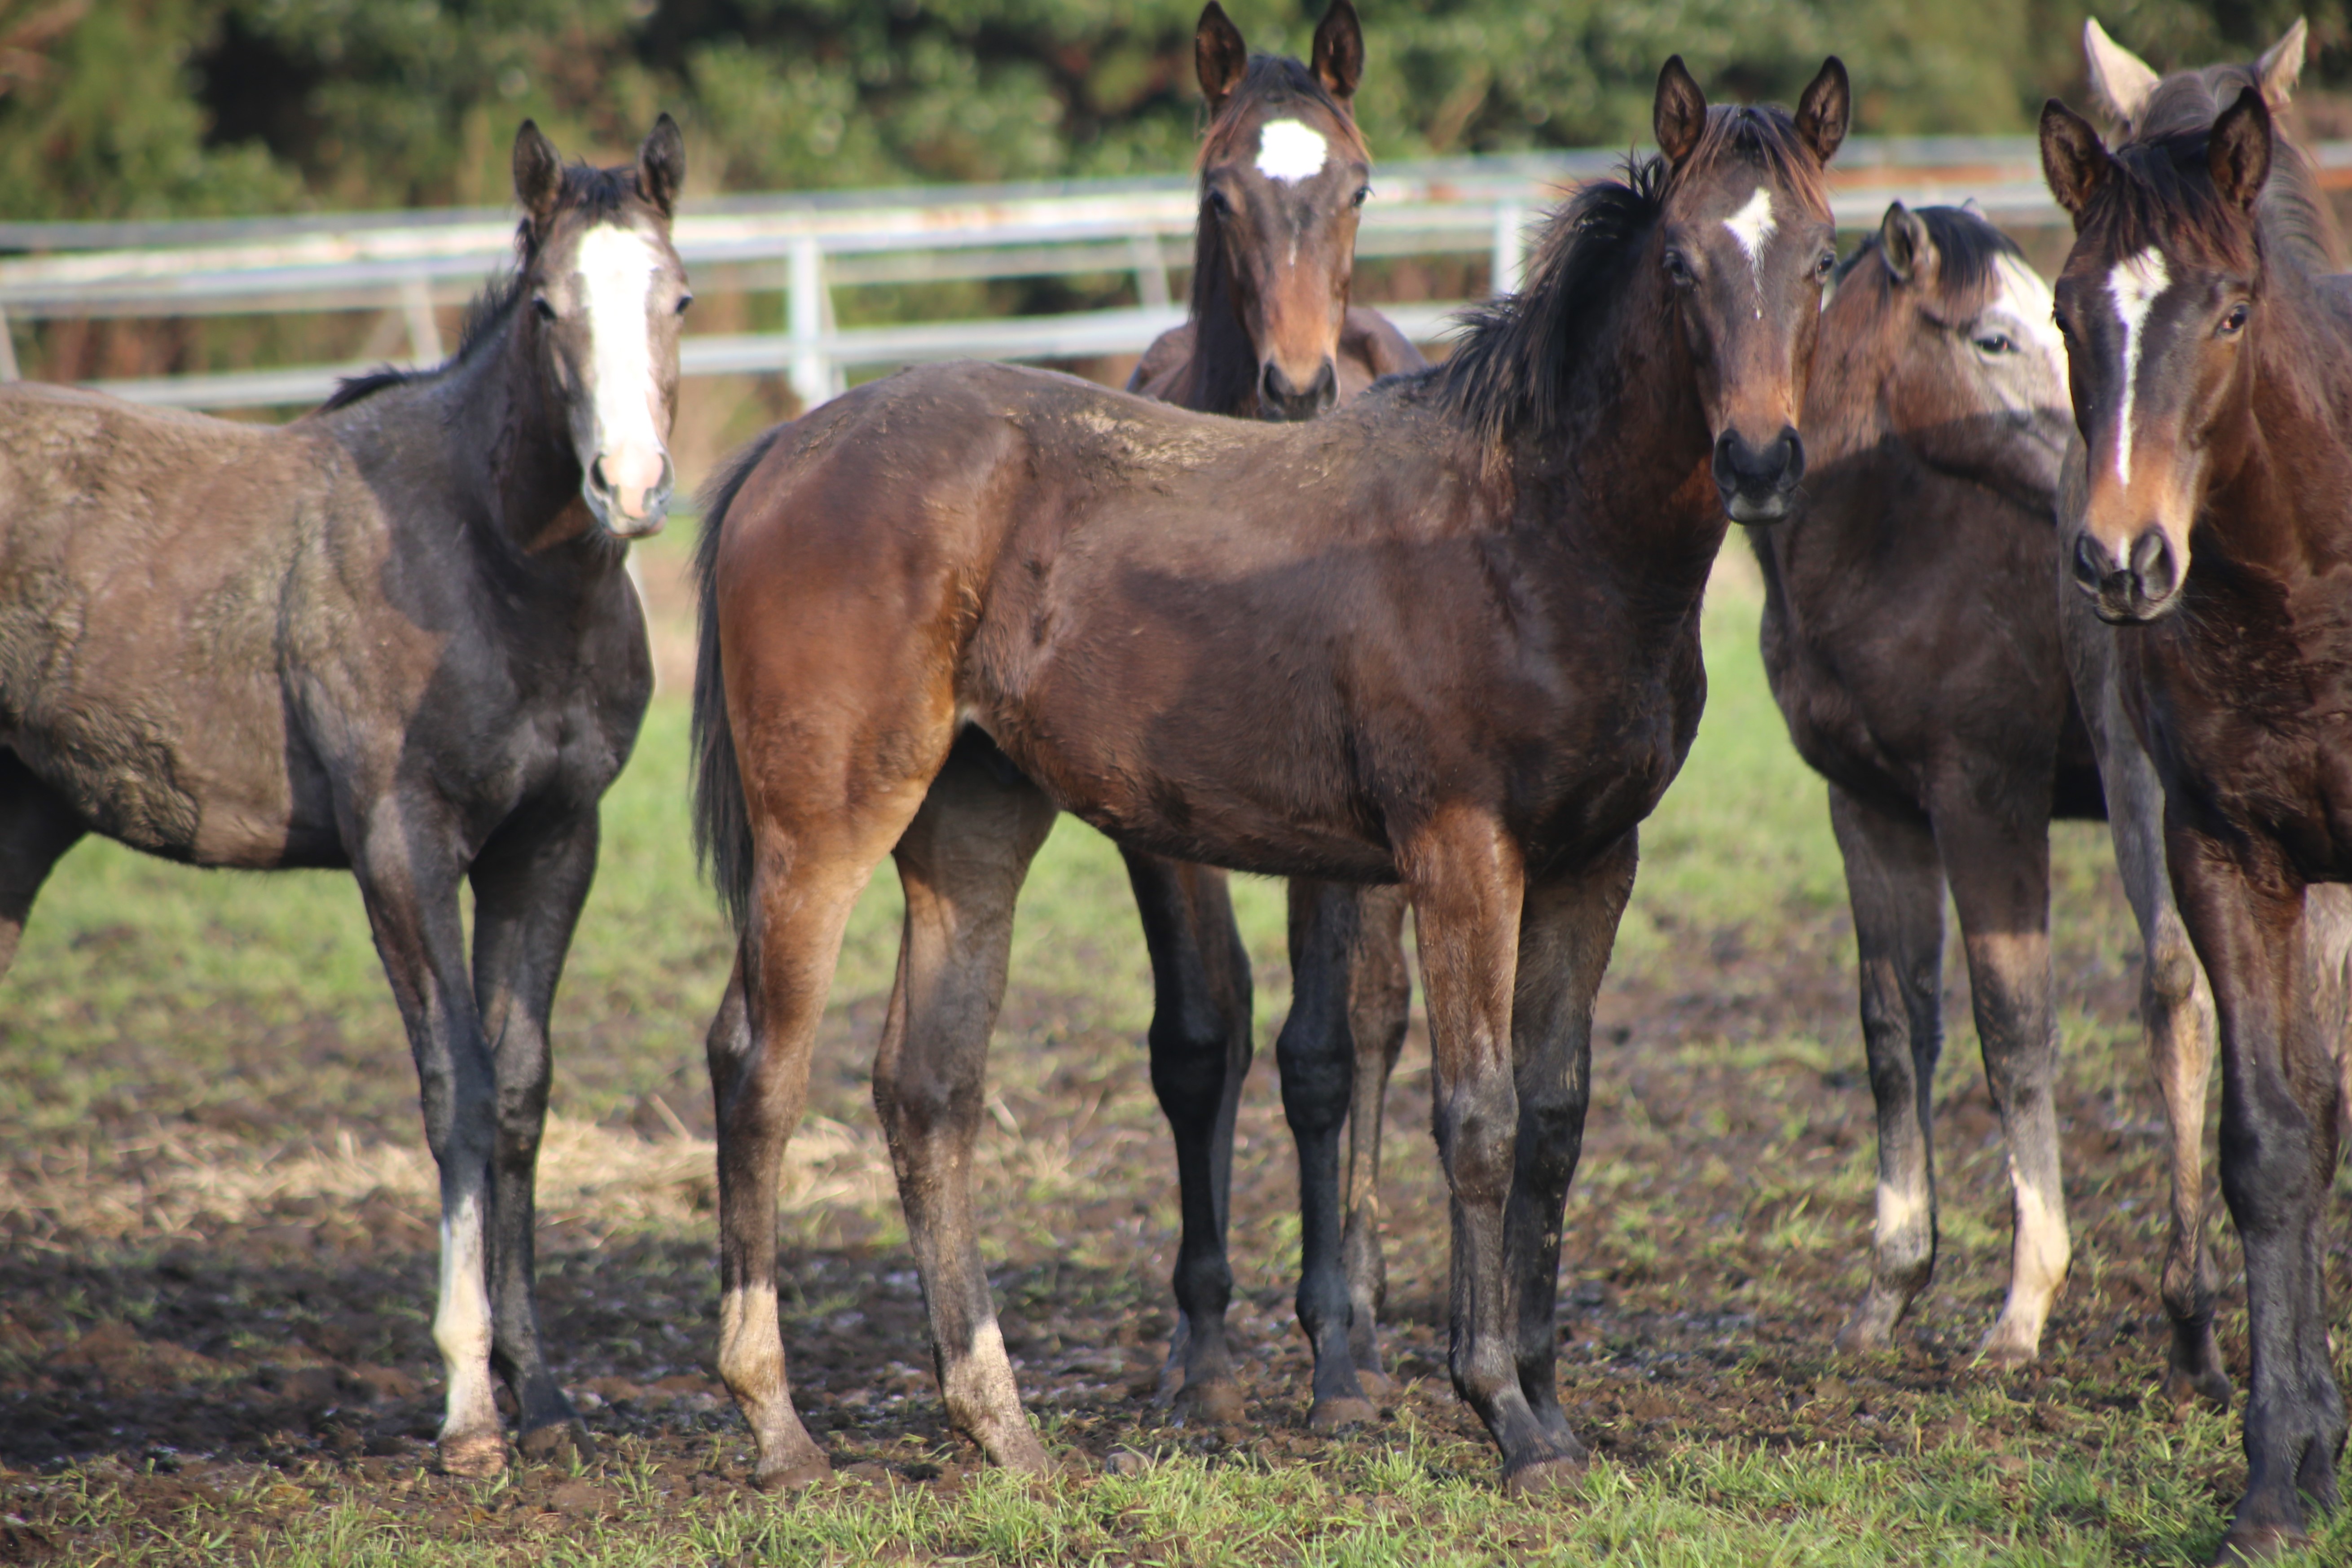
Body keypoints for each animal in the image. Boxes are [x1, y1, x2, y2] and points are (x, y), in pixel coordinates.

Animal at [0, 116, 686, 1476]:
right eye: (546, 307)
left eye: (676, 296)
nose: (629, 487)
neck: (488, 563)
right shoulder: (401, 845)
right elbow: (455, 1088)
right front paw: (470, 1408)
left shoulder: (552, 841)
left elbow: (519, 1089)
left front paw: (544, 1392)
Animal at [696, 55, 1853, 1495]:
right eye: (1685, 264)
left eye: (1822, 258)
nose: (1759, 460)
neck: (1529, 529)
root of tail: (783, 452)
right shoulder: (1459, 853)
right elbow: (1475, 1120)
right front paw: (1502, 1412)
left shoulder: (1594, 859)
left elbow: (1553, 1120)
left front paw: (1549, 1403)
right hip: (822, 830)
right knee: (759, 1065)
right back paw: (777, 1426)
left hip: (970, 832)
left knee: (927, 1090)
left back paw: (1001, 1424)